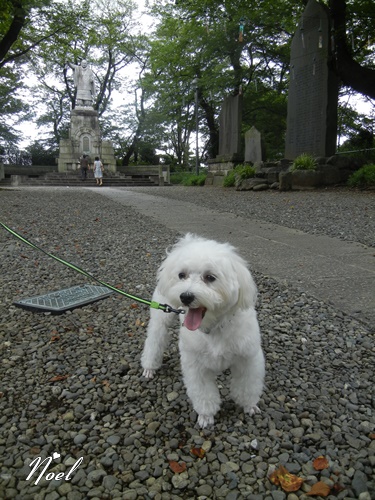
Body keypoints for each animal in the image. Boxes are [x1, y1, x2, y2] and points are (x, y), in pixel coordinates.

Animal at [140, 233, 264, 426]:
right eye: (181, 275)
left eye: (210, 277)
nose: (185, 296)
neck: (214, 326)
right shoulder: (196, 366)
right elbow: (203, 394)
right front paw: (206, 416)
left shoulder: (248, 358)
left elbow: (247, 386)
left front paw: (249, 405)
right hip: (162, 314)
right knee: (155, 339)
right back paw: (149, 366)